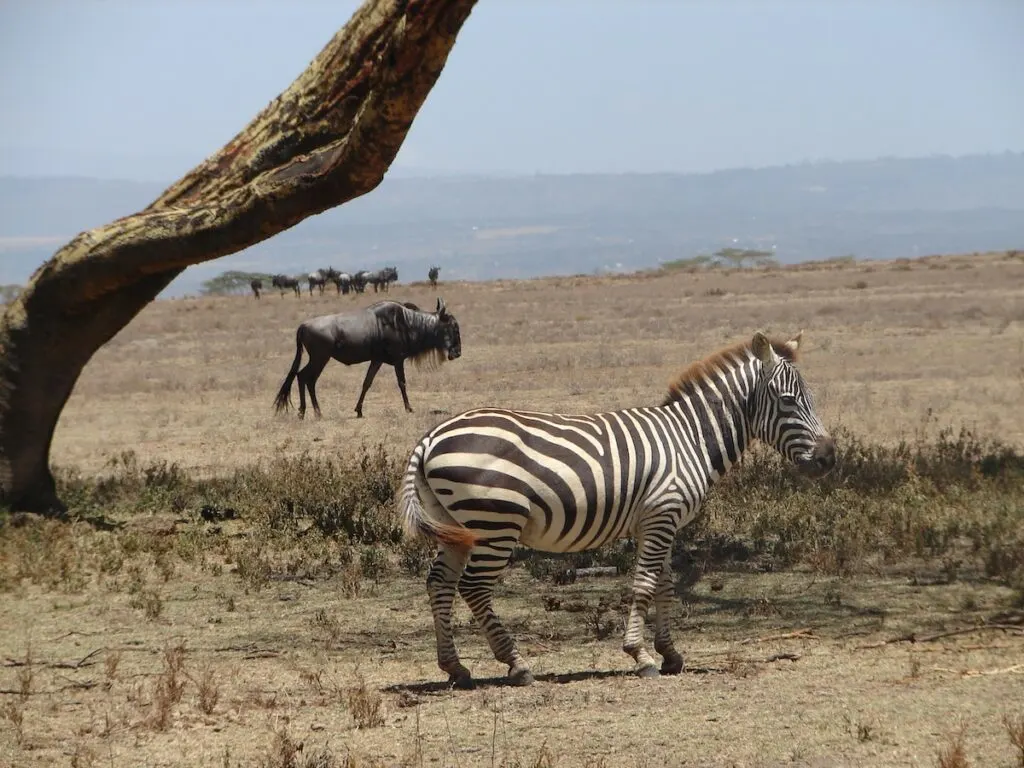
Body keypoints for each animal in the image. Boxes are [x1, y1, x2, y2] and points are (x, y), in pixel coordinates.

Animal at [395, 331, 835, 692]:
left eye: (811, 399)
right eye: (789, 401)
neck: (689, 438)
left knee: (439, 583)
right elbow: (644, 584)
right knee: (473, 587)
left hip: (455, 525)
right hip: (495, 522)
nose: (829, 459)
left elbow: (665, 585)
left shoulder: (658, 522)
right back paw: (516, 664)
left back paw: (455, 668)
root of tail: (430, 438)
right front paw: (641, 656)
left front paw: (670, 654)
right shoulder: (661, 514)